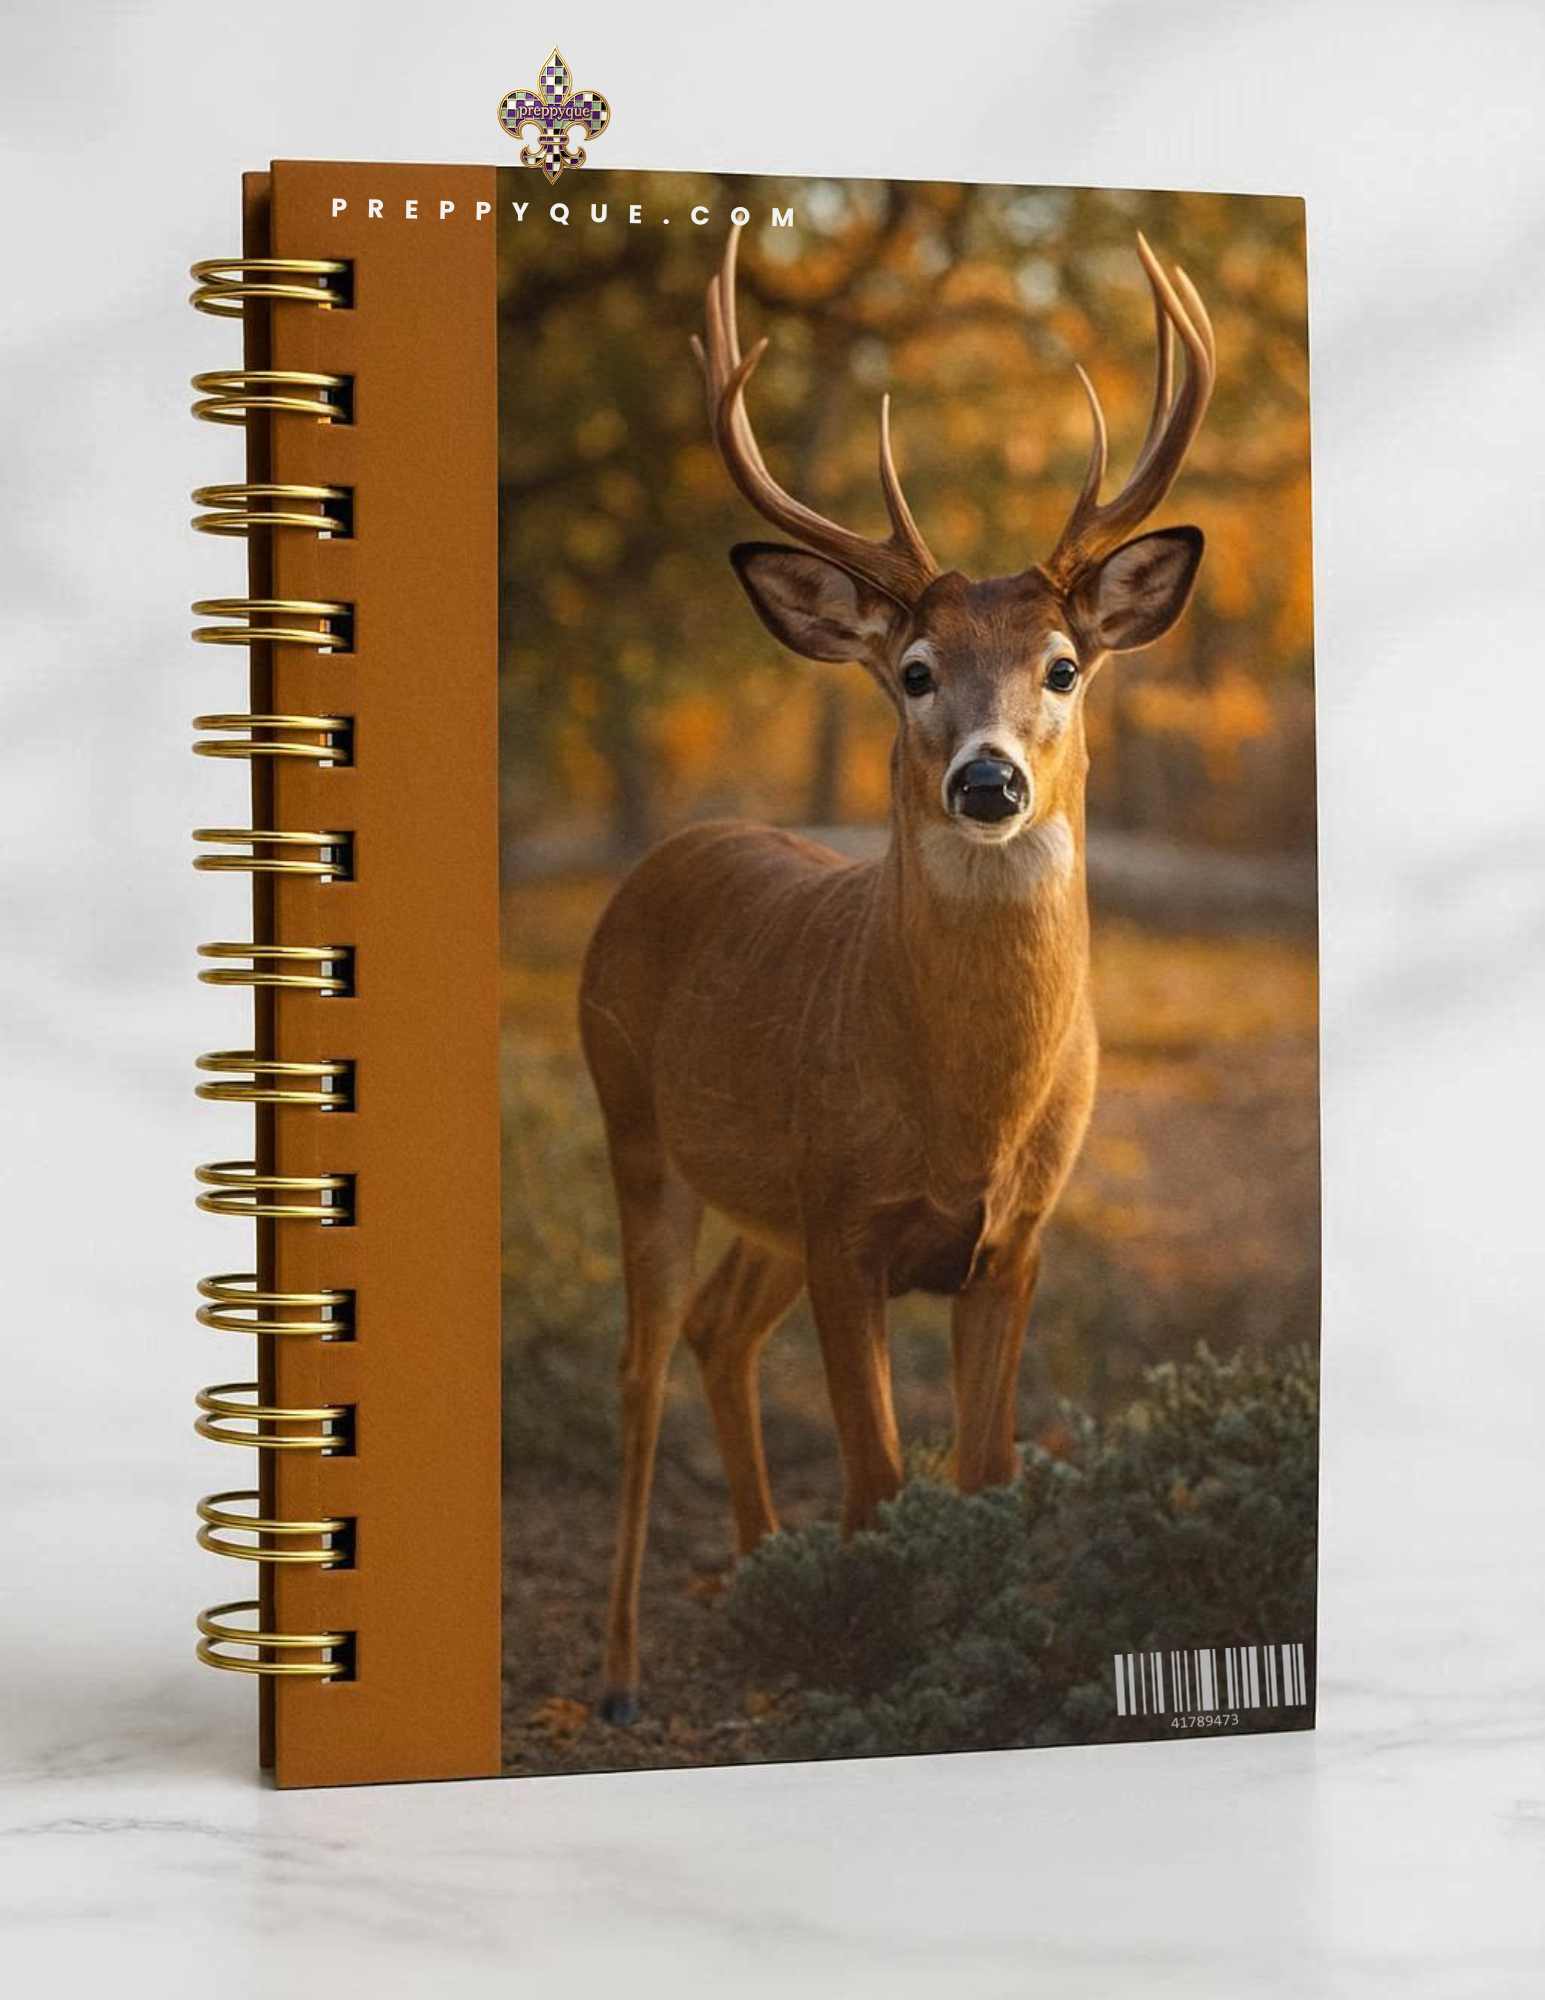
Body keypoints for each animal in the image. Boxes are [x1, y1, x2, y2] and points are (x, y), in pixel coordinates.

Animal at [579, 225, 1215, 1724]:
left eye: (1062, 665)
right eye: (914, 669)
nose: (987, 778)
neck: (967, 1109)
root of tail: (668, 848)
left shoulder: (1015, 1236)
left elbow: (980, 1475)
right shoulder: (848, 1226)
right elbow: (876, 1481)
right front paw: (876, 1668)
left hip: (761, 1199)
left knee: (714, 1332)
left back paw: (760, 1586)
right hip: (635, 1123)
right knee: (639, 1360)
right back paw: (627, 1675)